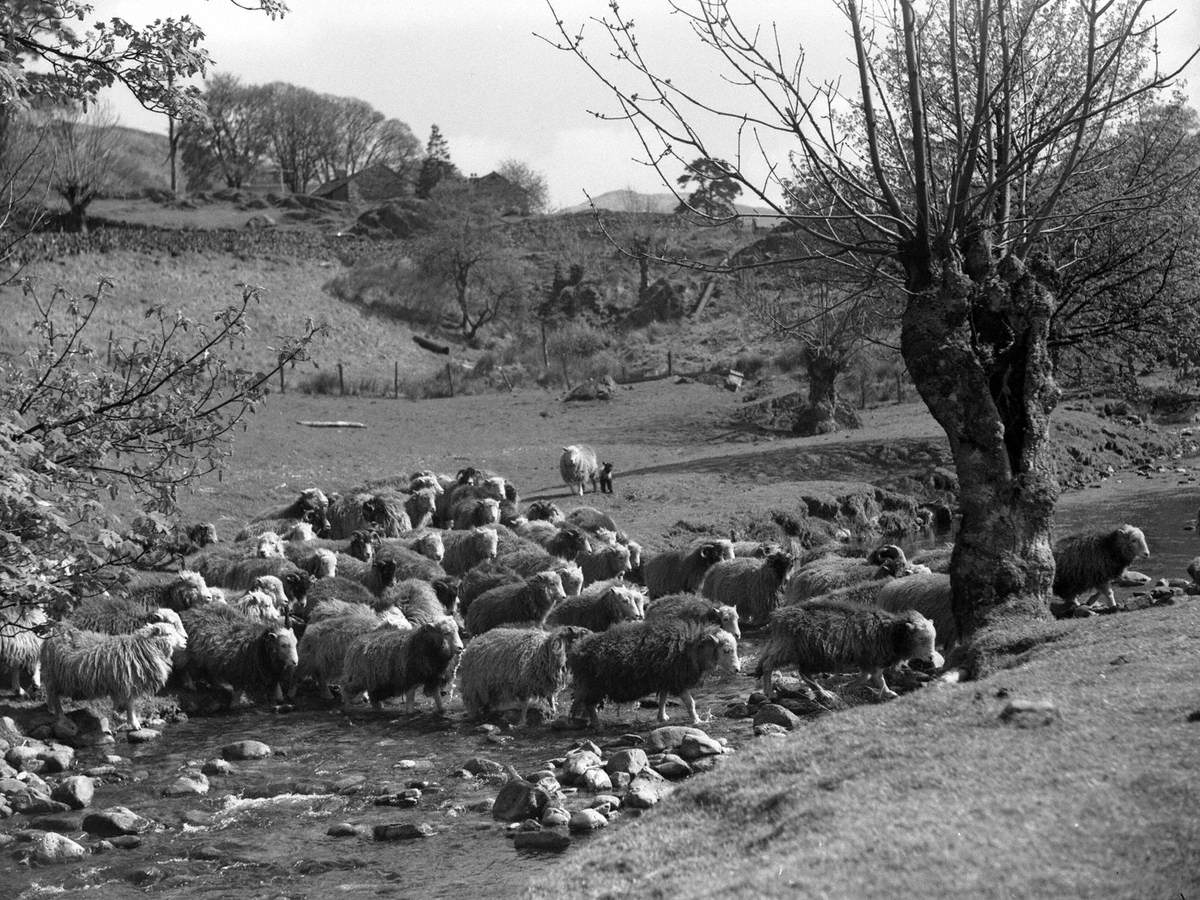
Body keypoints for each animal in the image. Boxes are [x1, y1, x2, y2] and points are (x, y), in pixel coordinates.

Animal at [39, 614, 186, 734]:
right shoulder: (128, 684)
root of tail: (54, 632)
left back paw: (50, 709)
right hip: (53, 675)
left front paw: (119, 716)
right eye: (168, 634)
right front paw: (134, 724)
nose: (185, 642)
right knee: (54, 696)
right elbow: (130, 705)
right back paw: (60, 715)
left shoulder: (122, 685)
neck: (142, 647)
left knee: (50, 695)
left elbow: (122, 704)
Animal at [456, 628, 592, 724]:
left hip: (488, 687)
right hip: (473, 687)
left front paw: (554, 712)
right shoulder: (523, 685)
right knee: (473, 703)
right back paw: (476, 716)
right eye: (582, 633)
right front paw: (522, 721)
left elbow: (550, 698)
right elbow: (525, 705)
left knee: (487, 702)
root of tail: (475, 641)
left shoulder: (547, 683)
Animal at [564, 624, 739, 729]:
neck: (692, 649)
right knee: (589, 705)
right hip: (593, 685)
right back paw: (597, 724)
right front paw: (697, 720)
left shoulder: (665, 680)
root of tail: (576, 651)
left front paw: (662, 717)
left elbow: (662, 699)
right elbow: (691, 703)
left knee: (579, 702)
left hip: (587, 684)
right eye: (726, 650)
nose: (737, 669)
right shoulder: (677, 681)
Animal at [758, 600, 945, 705]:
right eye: (921, 638)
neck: (891, 632)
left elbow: (866, 677)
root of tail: (779, 617)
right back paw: (770, 692)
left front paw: (845, 686)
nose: (931, 658)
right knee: (770, 666)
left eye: (934, 637)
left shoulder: (867, 660)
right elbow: (878, 679)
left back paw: (824, 692)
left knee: (802, 673)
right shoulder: (873, 658)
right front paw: (889, 692)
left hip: (803, 653)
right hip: (792, 650)